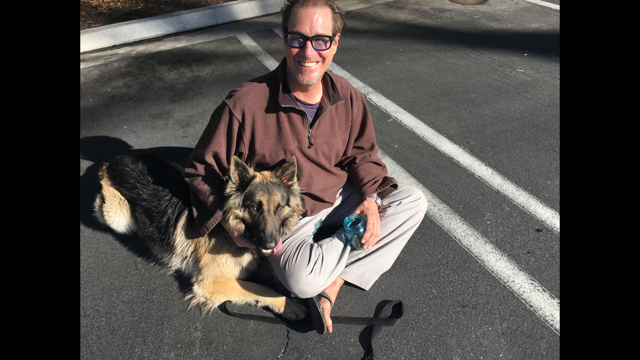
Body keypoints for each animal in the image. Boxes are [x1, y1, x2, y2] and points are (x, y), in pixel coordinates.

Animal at [92, 153, 308, 320]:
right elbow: (261, 288)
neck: (229, 230)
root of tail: (117, 160)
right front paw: (288, 305)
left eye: (279, 208)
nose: (271, 245)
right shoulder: (212, 283)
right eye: (255, 208)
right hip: (116, 215)